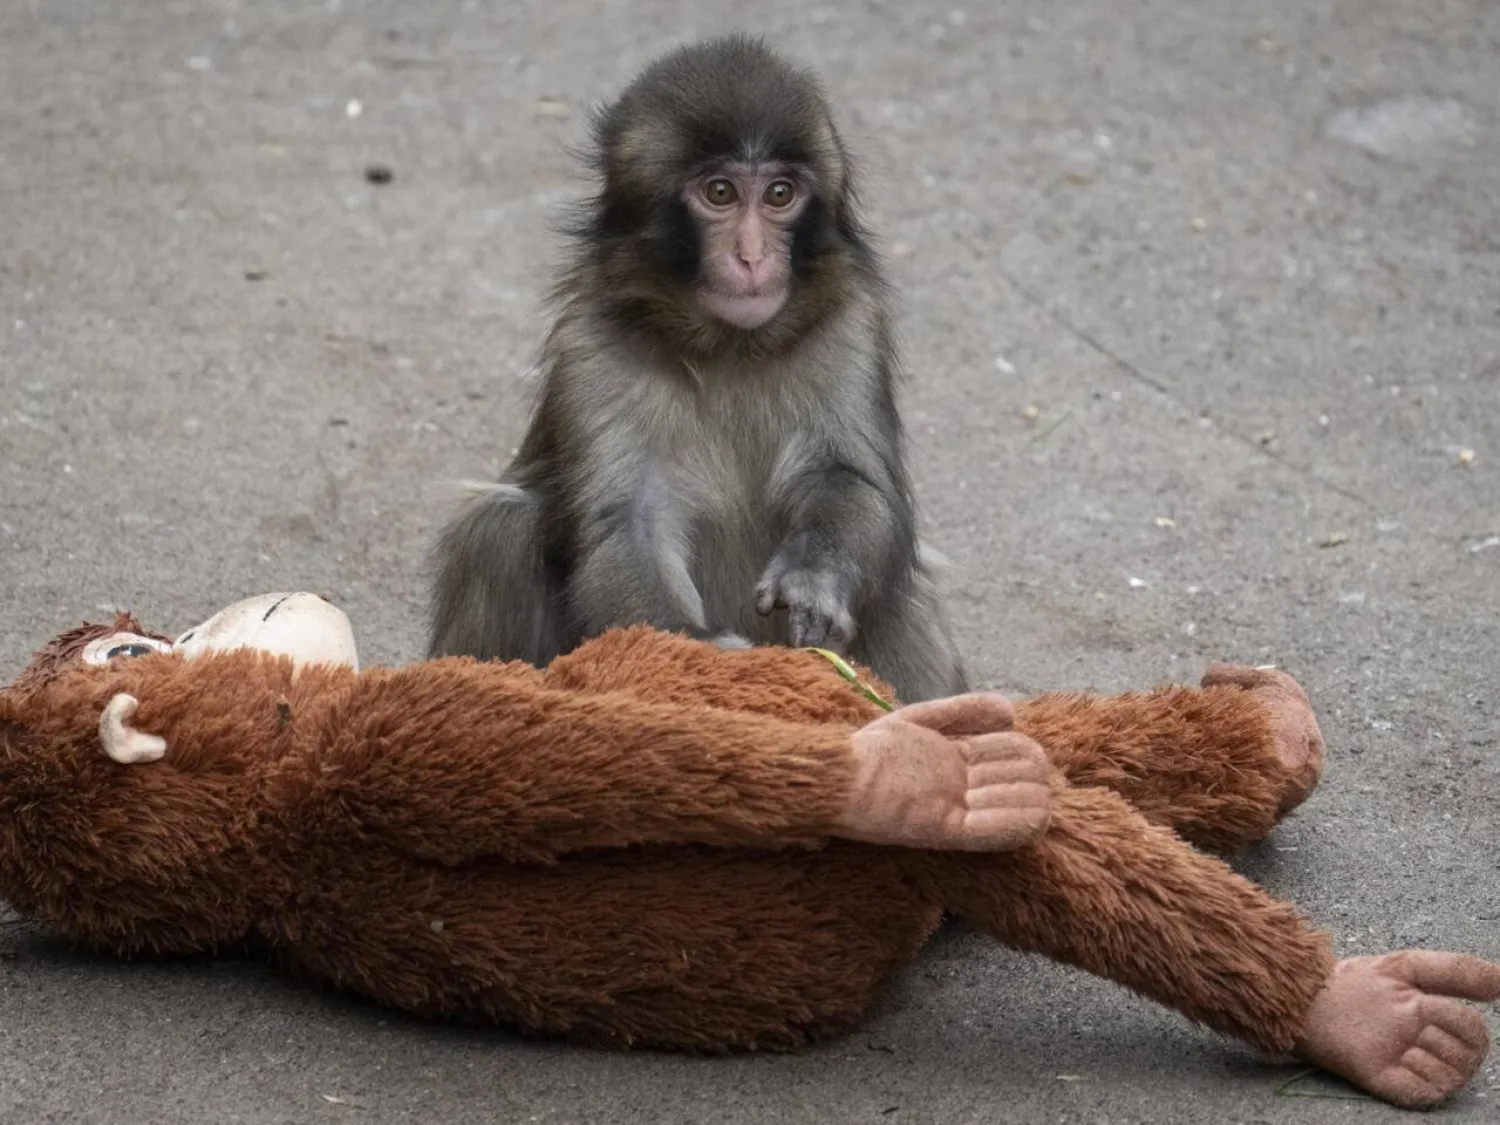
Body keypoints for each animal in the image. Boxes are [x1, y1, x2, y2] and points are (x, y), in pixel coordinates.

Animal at [427, 34, 967, 703]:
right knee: (499, 529)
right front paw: (699, 653)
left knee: (899, 592)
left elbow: (849, 479)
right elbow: (632, 520)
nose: (753, 257)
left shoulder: (850, 328)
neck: (730, 347)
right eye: (720, 194)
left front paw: (815, 575)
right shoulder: (593, 348)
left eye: (780, 195)